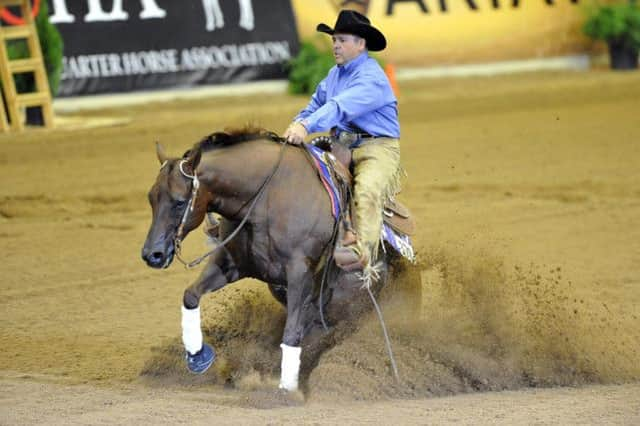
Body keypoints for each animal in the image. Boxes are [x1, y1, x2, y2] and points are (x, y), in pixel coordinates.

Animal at [142, 128, 392, 392]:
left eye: (180, 202)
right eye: (151, 198)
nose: (152, 254)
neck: (265, 199)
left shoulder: (300, 275)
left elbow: (291, 333)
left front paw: (285, 391)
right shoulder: (231, 264)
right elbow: (190, 295)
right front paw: (198, 357)